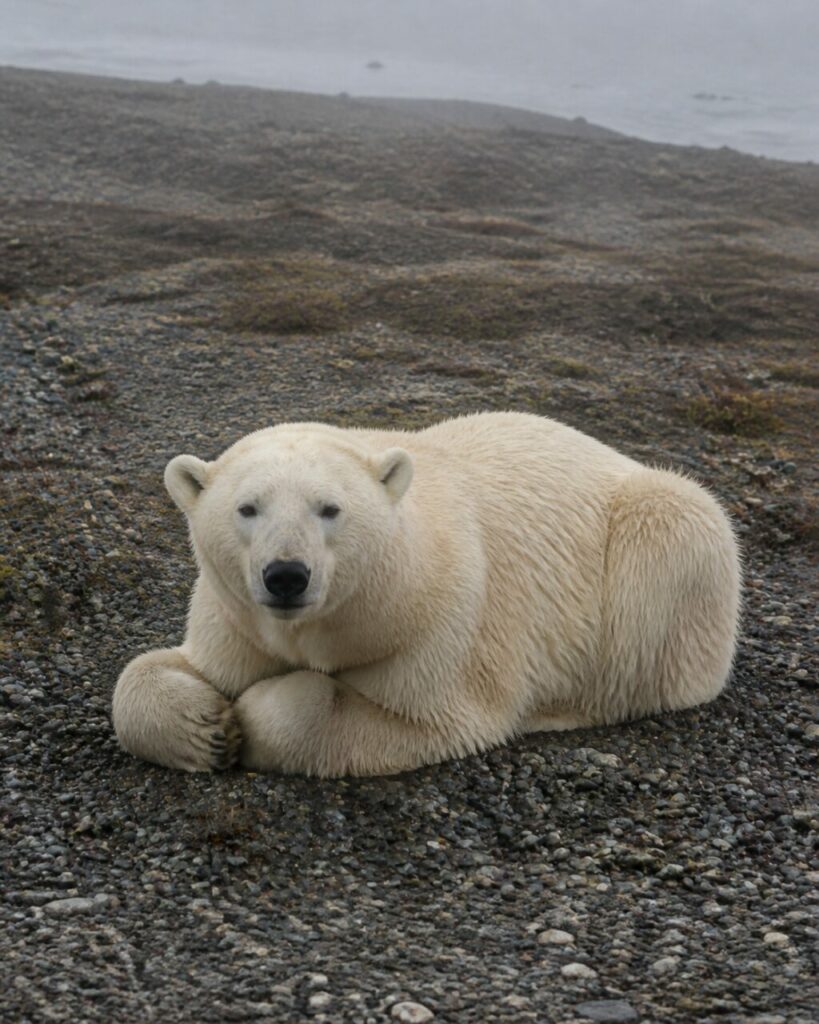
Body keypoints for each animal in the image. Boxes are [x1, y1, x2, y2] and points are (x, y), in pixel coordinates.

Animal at [112, 412, 741, 777]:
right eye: (247, 508)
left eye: (329, 508)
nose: (286, 574)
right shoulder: (234, 621)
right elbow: (158, 672)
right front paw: (208, 730)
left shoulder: (439, 625)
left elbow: (412, 718)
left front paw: (248, 718)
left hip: (663, 539)